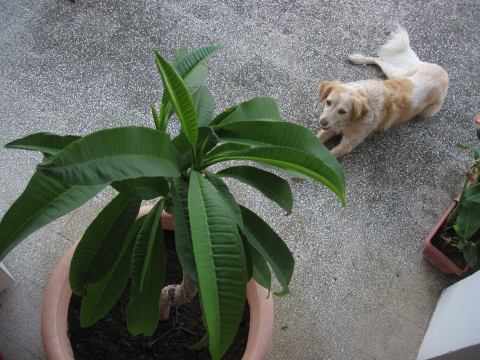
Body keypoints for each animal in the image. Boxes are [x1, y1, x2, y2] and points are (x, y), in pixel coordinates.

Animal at [316, 27, 448, 158]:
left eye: (342, 111)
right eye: (328, 102)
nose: (322, 121)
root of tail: (442, 71)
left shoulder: (346, 145)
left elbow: (328, 158)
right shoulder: (330, 127)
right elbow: (316, 138)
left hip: (428, 111)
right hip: (397, 74)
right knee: (380, 59)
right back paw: (358, 58)